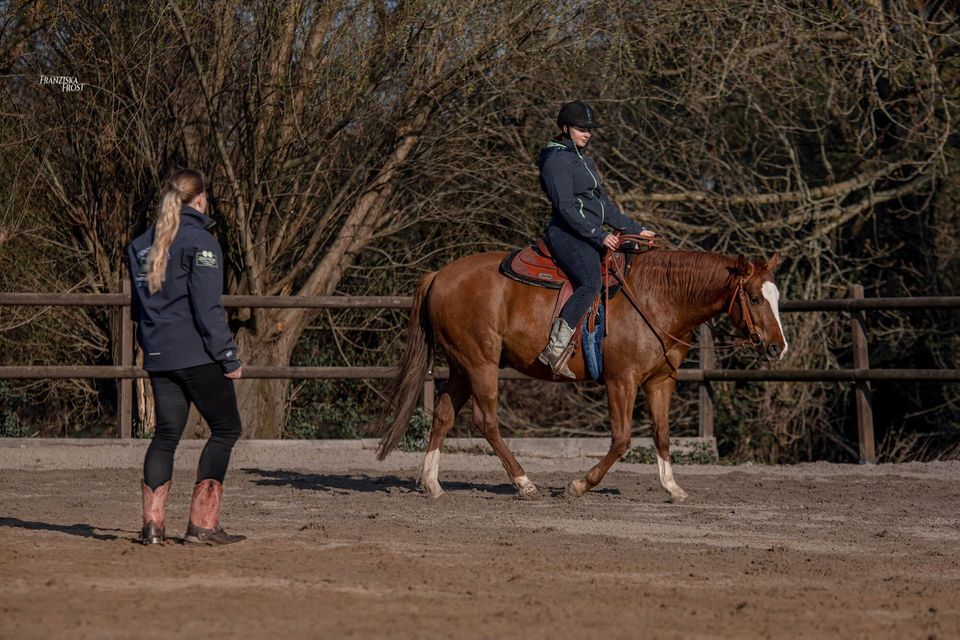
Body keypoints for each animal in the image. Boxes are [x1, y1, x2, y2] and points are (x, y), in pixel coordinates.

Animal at [376, 248, 788, 502]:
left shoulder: (660, 382)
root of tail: (438, 275)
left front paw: (672, 487)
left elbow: (662, 435)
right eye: (754, 298)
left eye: (778, 297)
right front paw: (578, 485)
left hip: (463, 366)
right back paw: (525, 483)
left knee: (443, 416)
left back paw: (432, 484)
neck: (658, 298)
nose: (776, 348)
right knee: (486, 420)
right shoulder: (622, 381)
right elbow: (621, 440)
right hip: (481, 364)